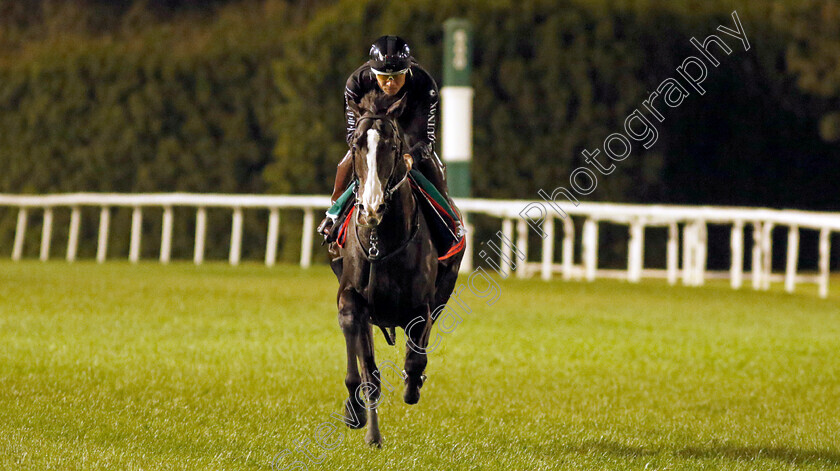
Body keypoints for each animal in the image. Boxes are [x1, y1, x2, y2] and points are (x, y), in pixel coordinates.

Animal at [328, 91, 462, 446]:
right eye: (356, 144)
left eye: (392, 145)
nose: (371, 207)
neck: (382, 242)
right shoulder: (352, 297)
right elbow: (364, 366)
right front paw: (358, 412)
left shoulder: (422, 307)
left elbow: (415, 358)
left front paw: (413, 385)